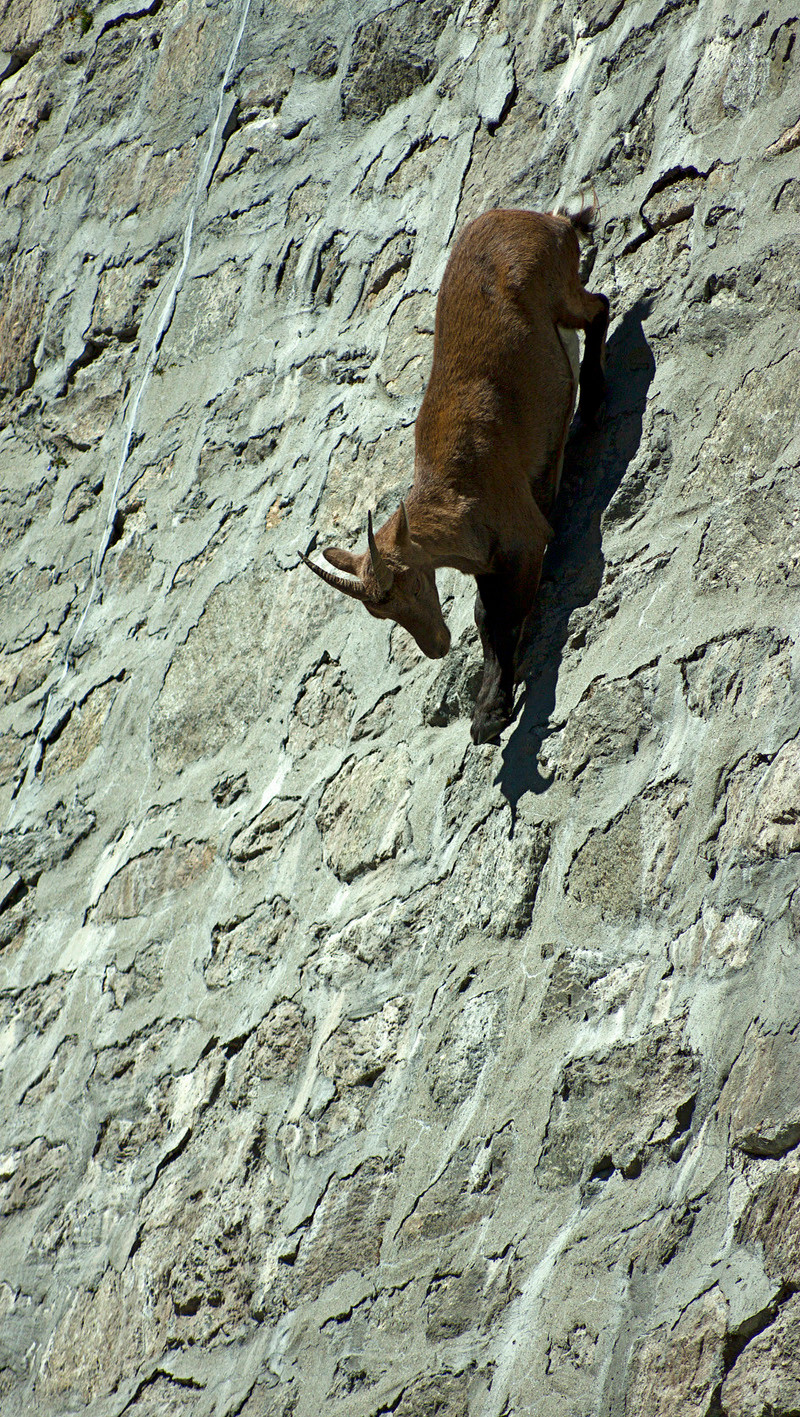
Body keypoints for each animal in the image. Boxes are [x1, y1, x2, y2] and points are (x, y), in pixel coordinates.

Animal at [301, 206, 609, 743]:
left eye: (409, 585)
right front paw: (487, 708)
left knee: (598, 308)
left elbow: (501, 619)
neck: (458, 493)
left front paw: (492, 714)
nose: (437, 647)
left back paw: (591, 401)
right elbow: (485, 616)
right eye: (378, 610)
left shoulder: (522, 535)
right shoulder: (489, 558)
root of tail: (549, 220)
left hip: (561, 293)